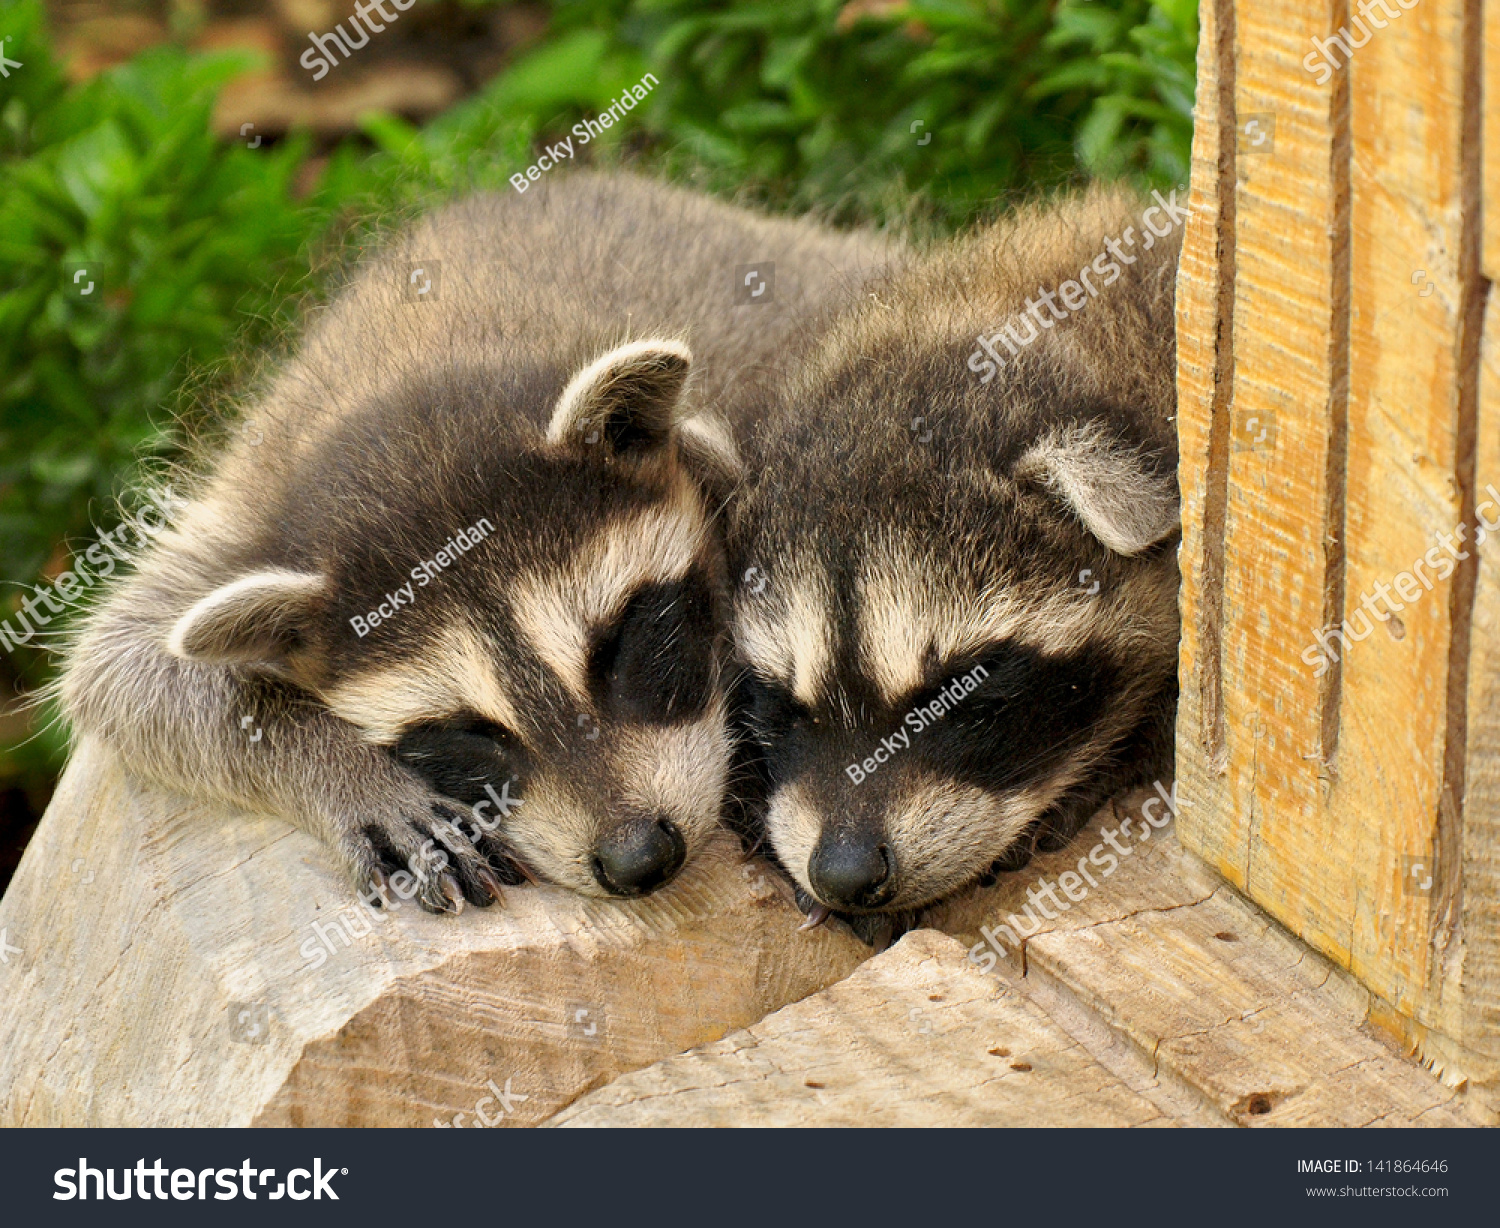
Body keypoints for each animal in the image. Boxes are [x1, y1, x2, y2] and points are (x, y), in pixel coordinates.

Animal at [61, 173, 888, 911]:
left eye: (624, 643)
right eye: (464, 731)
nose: (640, 858)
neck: (402, 381)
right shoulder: (246, 512)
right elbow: (119, 669)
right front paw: (347, 770)